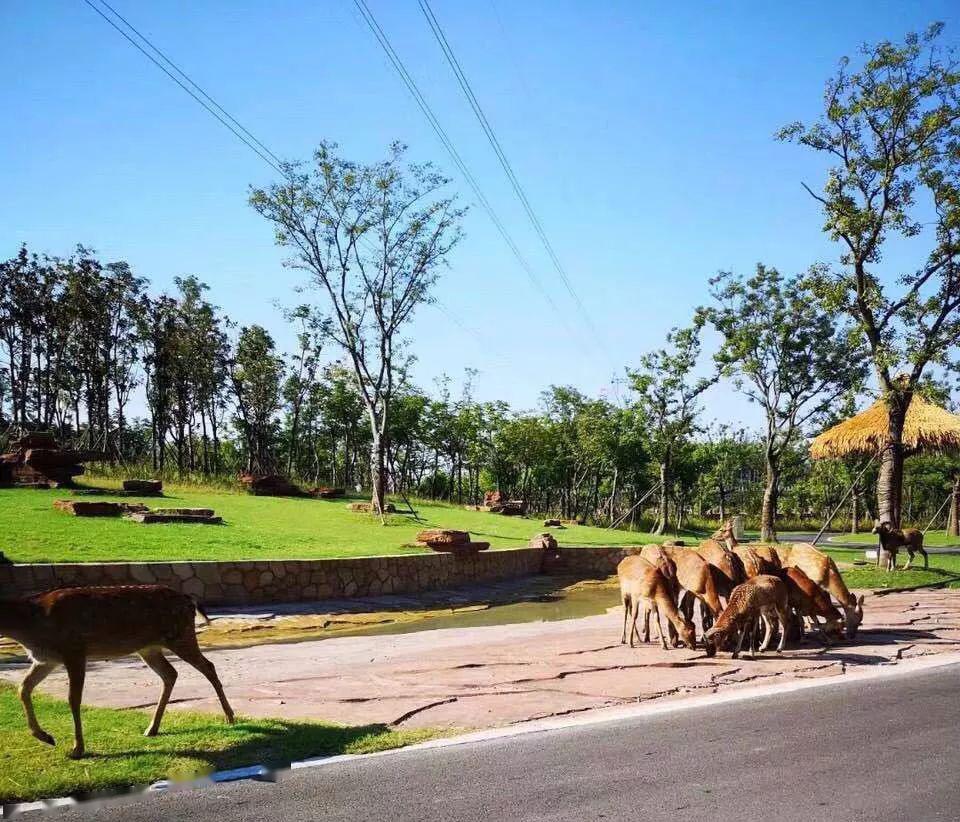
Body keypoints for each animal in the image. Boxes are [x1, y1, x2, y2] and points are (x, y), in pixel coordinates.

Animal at [2, 584, 235, 760]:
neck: (31, 624)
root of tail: (190, 599)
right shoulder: (46, 660)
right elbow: (23, 688)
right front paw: (46, 737)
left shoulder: (74, 650)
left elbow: (73, 699)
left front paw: (77, 749)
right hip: (149, 647)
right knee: (171, 673)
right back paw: (152, 728)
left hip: (180, 635)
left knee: (208, 666)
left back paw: (229, 716)